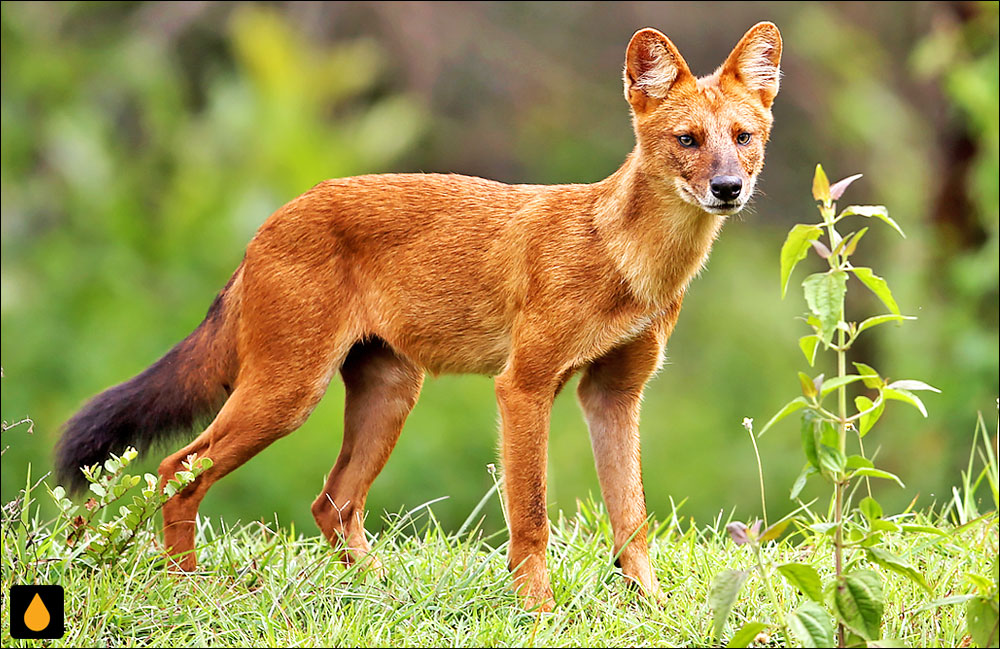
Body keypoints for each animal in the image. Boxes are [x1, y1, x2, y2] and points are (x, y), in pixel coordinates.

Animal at [58, 24, 780, 612]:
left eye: (742, 138)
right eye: (687, 140)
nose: (728, 188)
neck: (628, 261)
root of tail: (269, 222)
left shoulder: (614, 394)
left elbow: (633, 518)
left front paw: (652, 606)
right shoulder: (524, 385)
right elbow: (532, 516)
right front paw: (539, 612)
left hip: (390, 393)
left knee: (332, 501)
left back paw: (384, 591)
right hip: (288, 393)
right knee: (177, 470)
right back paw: (189, 591)